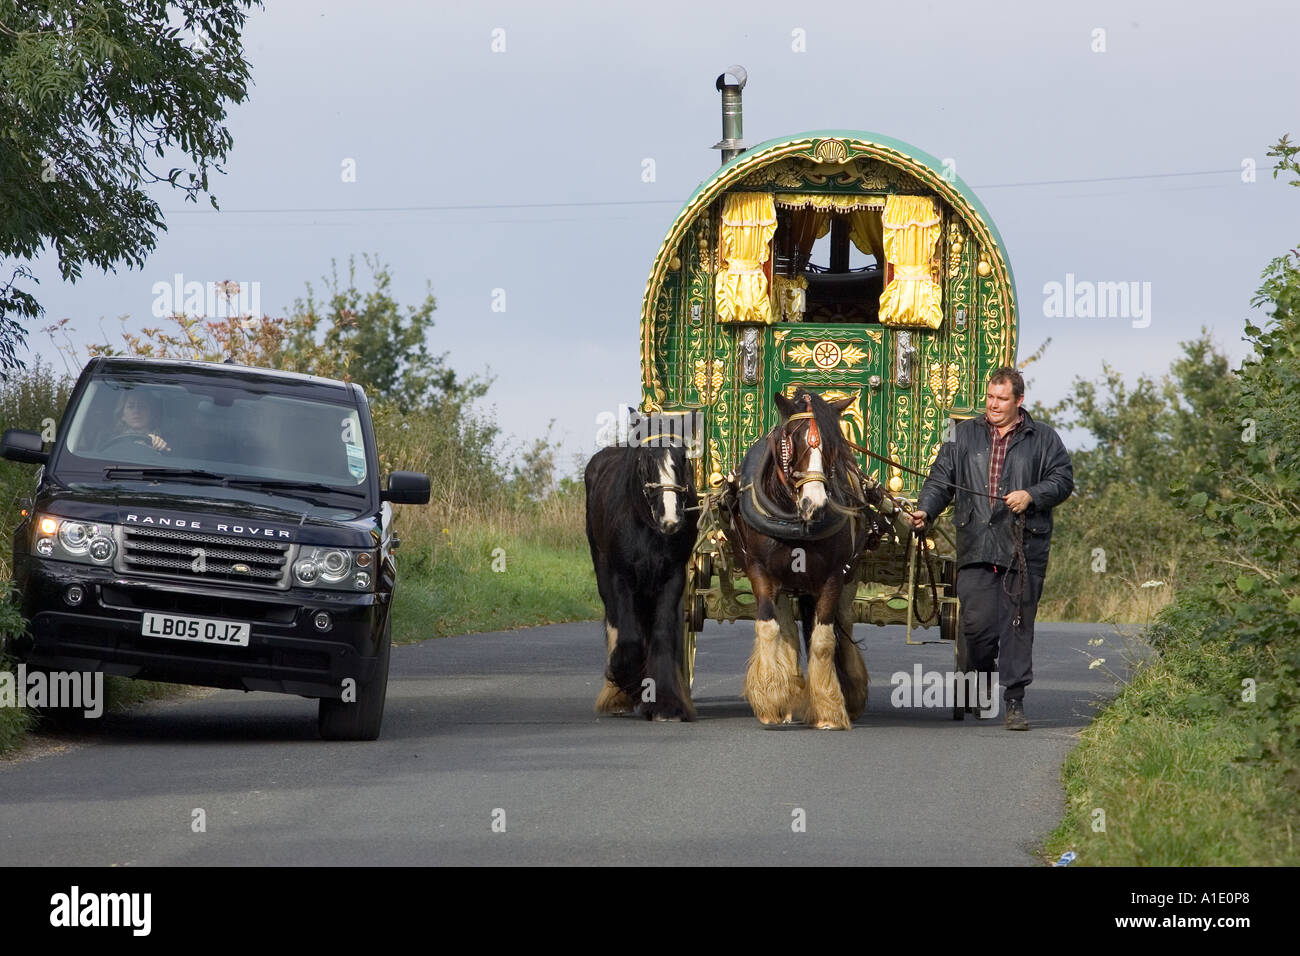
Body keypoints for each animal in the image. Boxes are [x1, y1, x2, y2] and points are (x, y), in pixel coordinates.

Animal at [585, 442, 696, 717]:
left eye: (682, 458)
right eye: (646, 463)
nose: (671, 520)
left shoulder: (673, 577)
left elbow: (663, 633)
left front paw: (666, 703)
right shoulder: (622, 576)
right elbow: (629, 636)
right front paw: (630, 681)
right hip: (603, 569)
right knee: (614, 620)